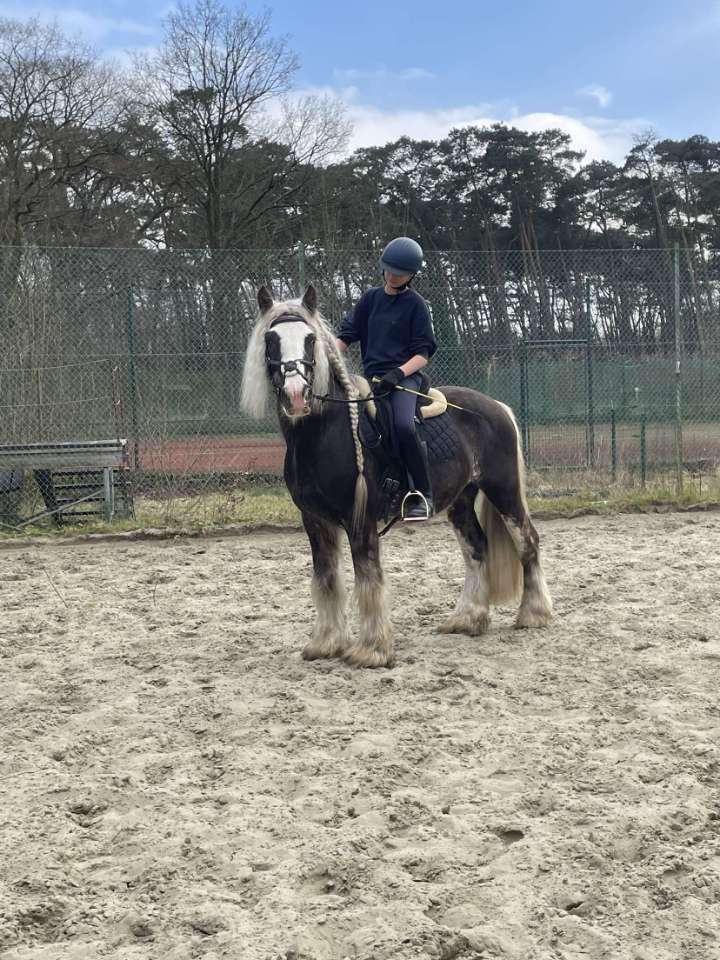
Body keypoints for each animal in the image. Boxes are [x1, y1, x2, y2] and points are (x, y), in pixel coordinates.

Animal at [240, 284, 553, 668]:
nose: (297, 396)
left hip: (502, 489)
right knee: (476, 548)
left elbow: (368, 579)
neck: (324, 434)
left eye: (310, 339)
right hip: (461, 500)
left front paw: (372, 649)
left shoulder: (359, 519)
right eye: (271, 340)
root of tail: (498, 407)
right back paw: (468, 619)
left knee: (528, 541)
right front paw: (326, 643)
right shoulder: (314, 519)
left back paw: (533, 614)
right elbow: (326, 579)